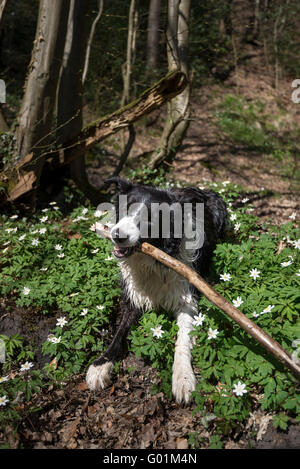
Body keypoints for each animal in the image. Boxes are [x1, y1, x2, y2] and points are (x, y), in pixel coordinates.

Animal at [85, 176, 226, 402]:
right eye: (125, 208)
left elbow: (182, 339)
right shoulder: (134, 297)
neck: (154, 259)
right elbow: (118, 334)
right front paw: (101, 364)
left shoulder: (187, 298)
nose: (117, 235)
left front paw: (183, 377)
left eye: (150, 218)